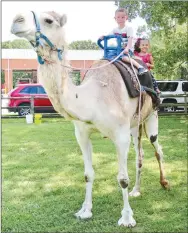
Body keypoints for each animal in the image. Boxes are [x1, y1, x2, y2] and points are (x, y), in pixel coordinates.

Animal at [10, 11, 169, 228]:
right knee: (140, 154)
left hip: (152, 113)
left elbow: (122, 178)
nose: (16, 20)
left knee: (157, 147)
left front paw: (127, 218)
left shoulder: (120, 135)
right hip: (135, 124)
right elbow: (88, 174)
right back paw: (136, 190)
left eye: (49, 20)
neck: (93, 96)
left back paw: (165, 183)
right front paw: (85, 210)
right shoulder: (82, 133)